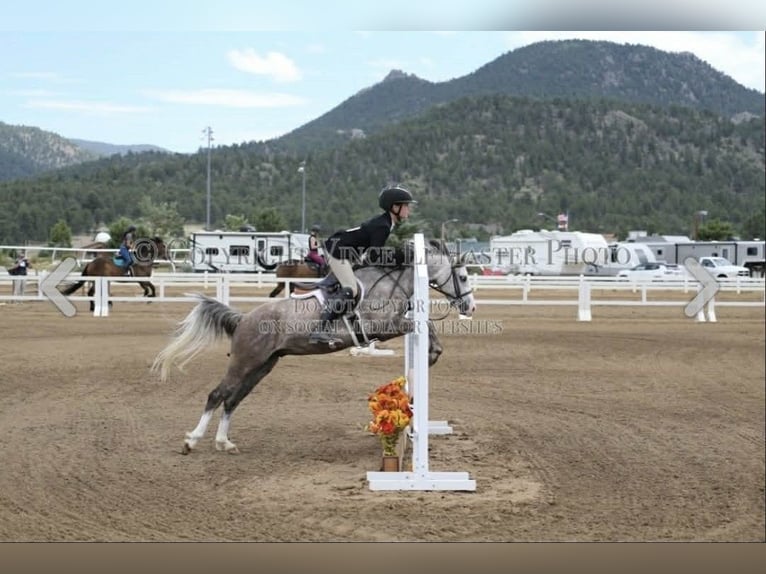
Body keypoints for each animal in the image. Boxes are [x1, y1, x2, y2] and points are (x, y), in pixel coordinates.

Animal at [151, 239, 476, 455]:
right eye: (462, 276)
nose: (470, 307)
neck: (390, 282)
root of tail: (243, 318)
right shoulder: (382, 328)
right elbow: (420, 325)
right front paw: (431, 355)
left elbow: (425, 324)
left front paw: (433, 353)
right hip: (245, 361)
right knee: (217, 395)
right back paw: (191, 440)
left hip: (262, 365)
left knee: (233, 400)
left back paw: (223, 442)